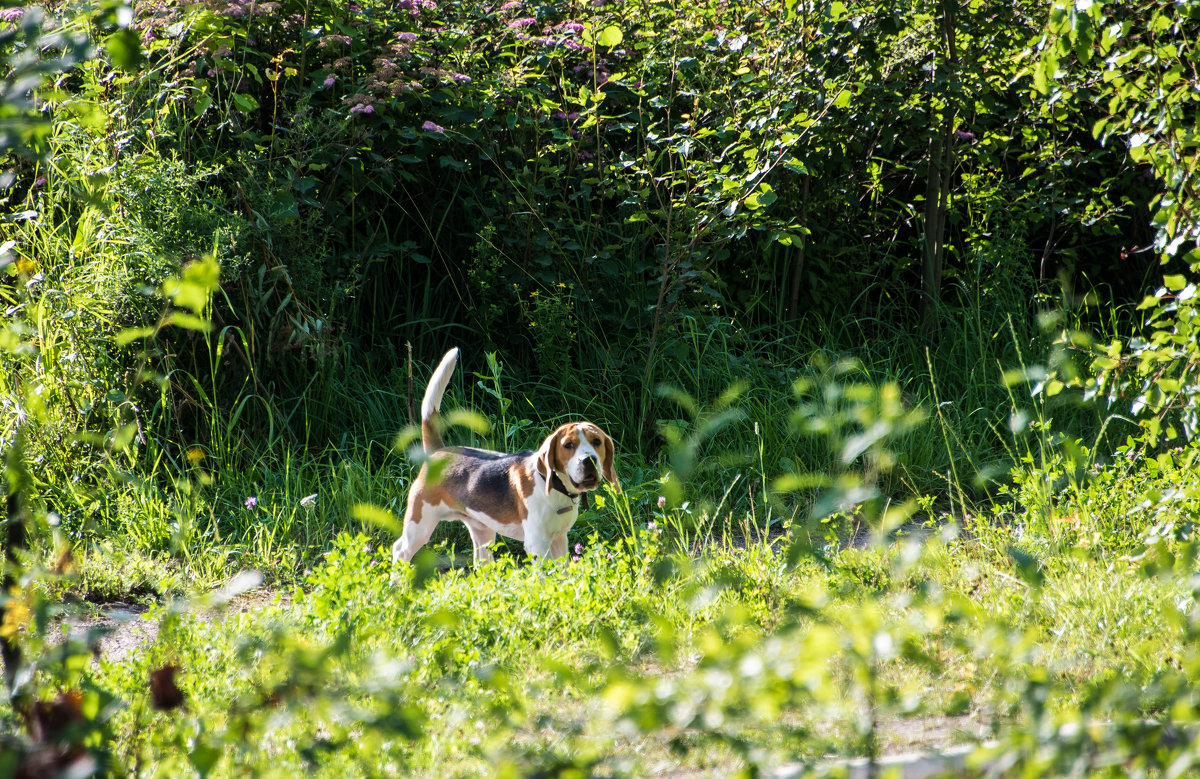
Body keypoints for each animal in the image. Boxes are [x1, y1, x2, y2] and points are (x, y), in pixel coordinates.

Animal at [391, 345, 624, 576]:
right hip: (419, 525)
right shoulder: (537, 545)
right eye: (568, 445)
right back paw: (396, 583)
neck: (555, 487)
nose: (589, 460)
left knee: (481, 563)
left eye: (596, 441)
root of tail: (439, 452)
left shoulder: (559, 539)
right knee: (399, 549)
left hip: (483, 532)